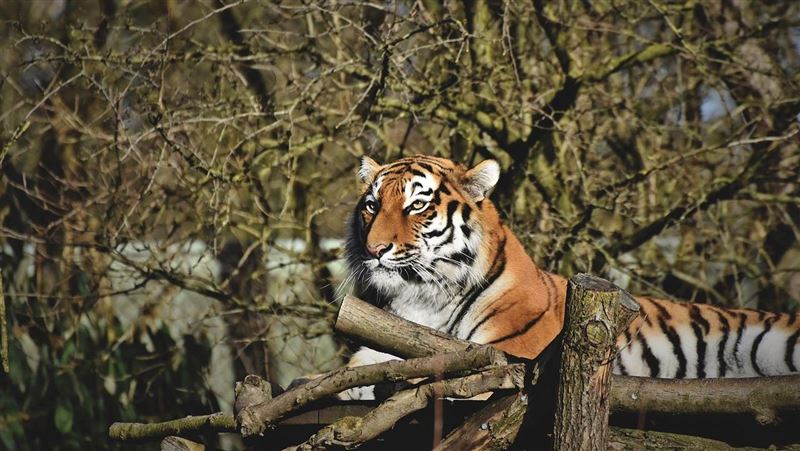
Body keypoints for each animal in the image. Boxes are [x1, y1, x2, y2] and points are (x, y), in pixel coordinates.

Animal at [338, 154, 800, 399]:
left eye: (417, 205)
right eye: (372, 205)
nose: (375, 250)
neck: (424, 296)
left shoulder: (508, 358)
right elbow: (356, 367)